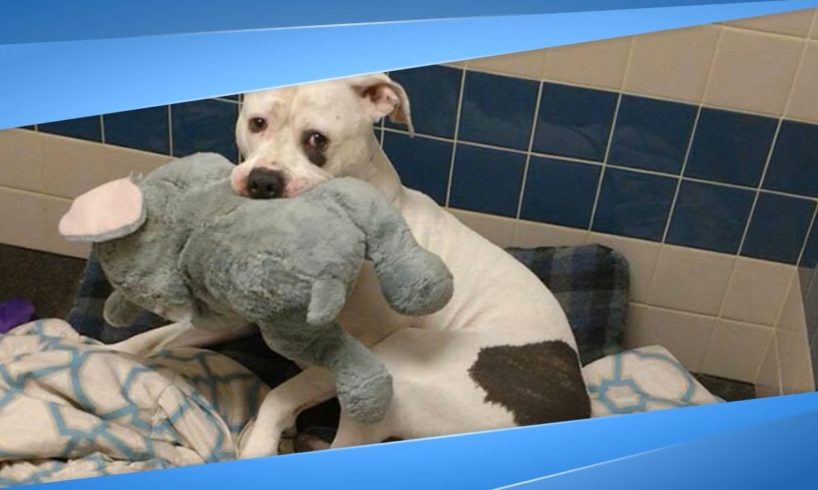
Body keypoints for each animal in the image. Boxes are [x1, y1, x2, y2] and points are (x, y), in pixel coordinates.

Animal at [115, 73, 588, 460]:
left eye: (317, 139)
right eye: (257, 123)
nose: (263, 180)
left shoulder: (349, 359)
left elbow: (280, 395)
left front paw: (261, 439)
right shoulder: (235, 321)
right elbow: (155, 338)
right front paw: (108, 354)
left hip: (397, 368)